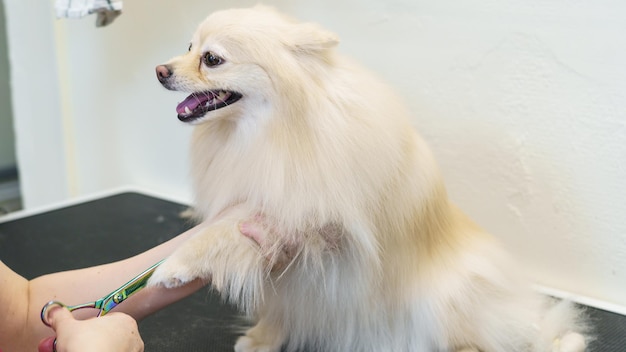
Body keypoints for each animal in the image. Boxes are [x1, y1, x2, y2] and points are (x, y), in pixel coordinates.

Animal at [149, 5, 588, 352]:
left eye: (212, 59)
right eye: (188, 47)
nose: (159, 70)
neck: (270, 131)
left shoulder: (303, 216)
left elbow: (218, 234)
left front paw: (174, 265)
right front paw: (263, 337)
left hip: (447, 295)